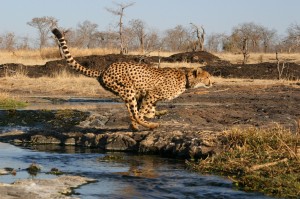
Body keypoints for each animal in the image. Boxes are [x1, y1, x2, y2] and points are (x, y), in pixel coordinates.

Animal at [51, 28, 212, 131]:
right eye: (207, 77)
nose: (212, 82)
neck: (186, 79)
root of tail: (105, 68)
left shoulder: (147, 96)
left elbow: (147, 110)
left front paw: (154, 114)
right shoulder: (151, 94)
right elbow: (141, 111)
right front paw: (139, 123)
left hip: (126, 92)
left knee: (130, 109)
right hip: (128, 89)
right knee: (133, 112)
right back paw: (148, 126)